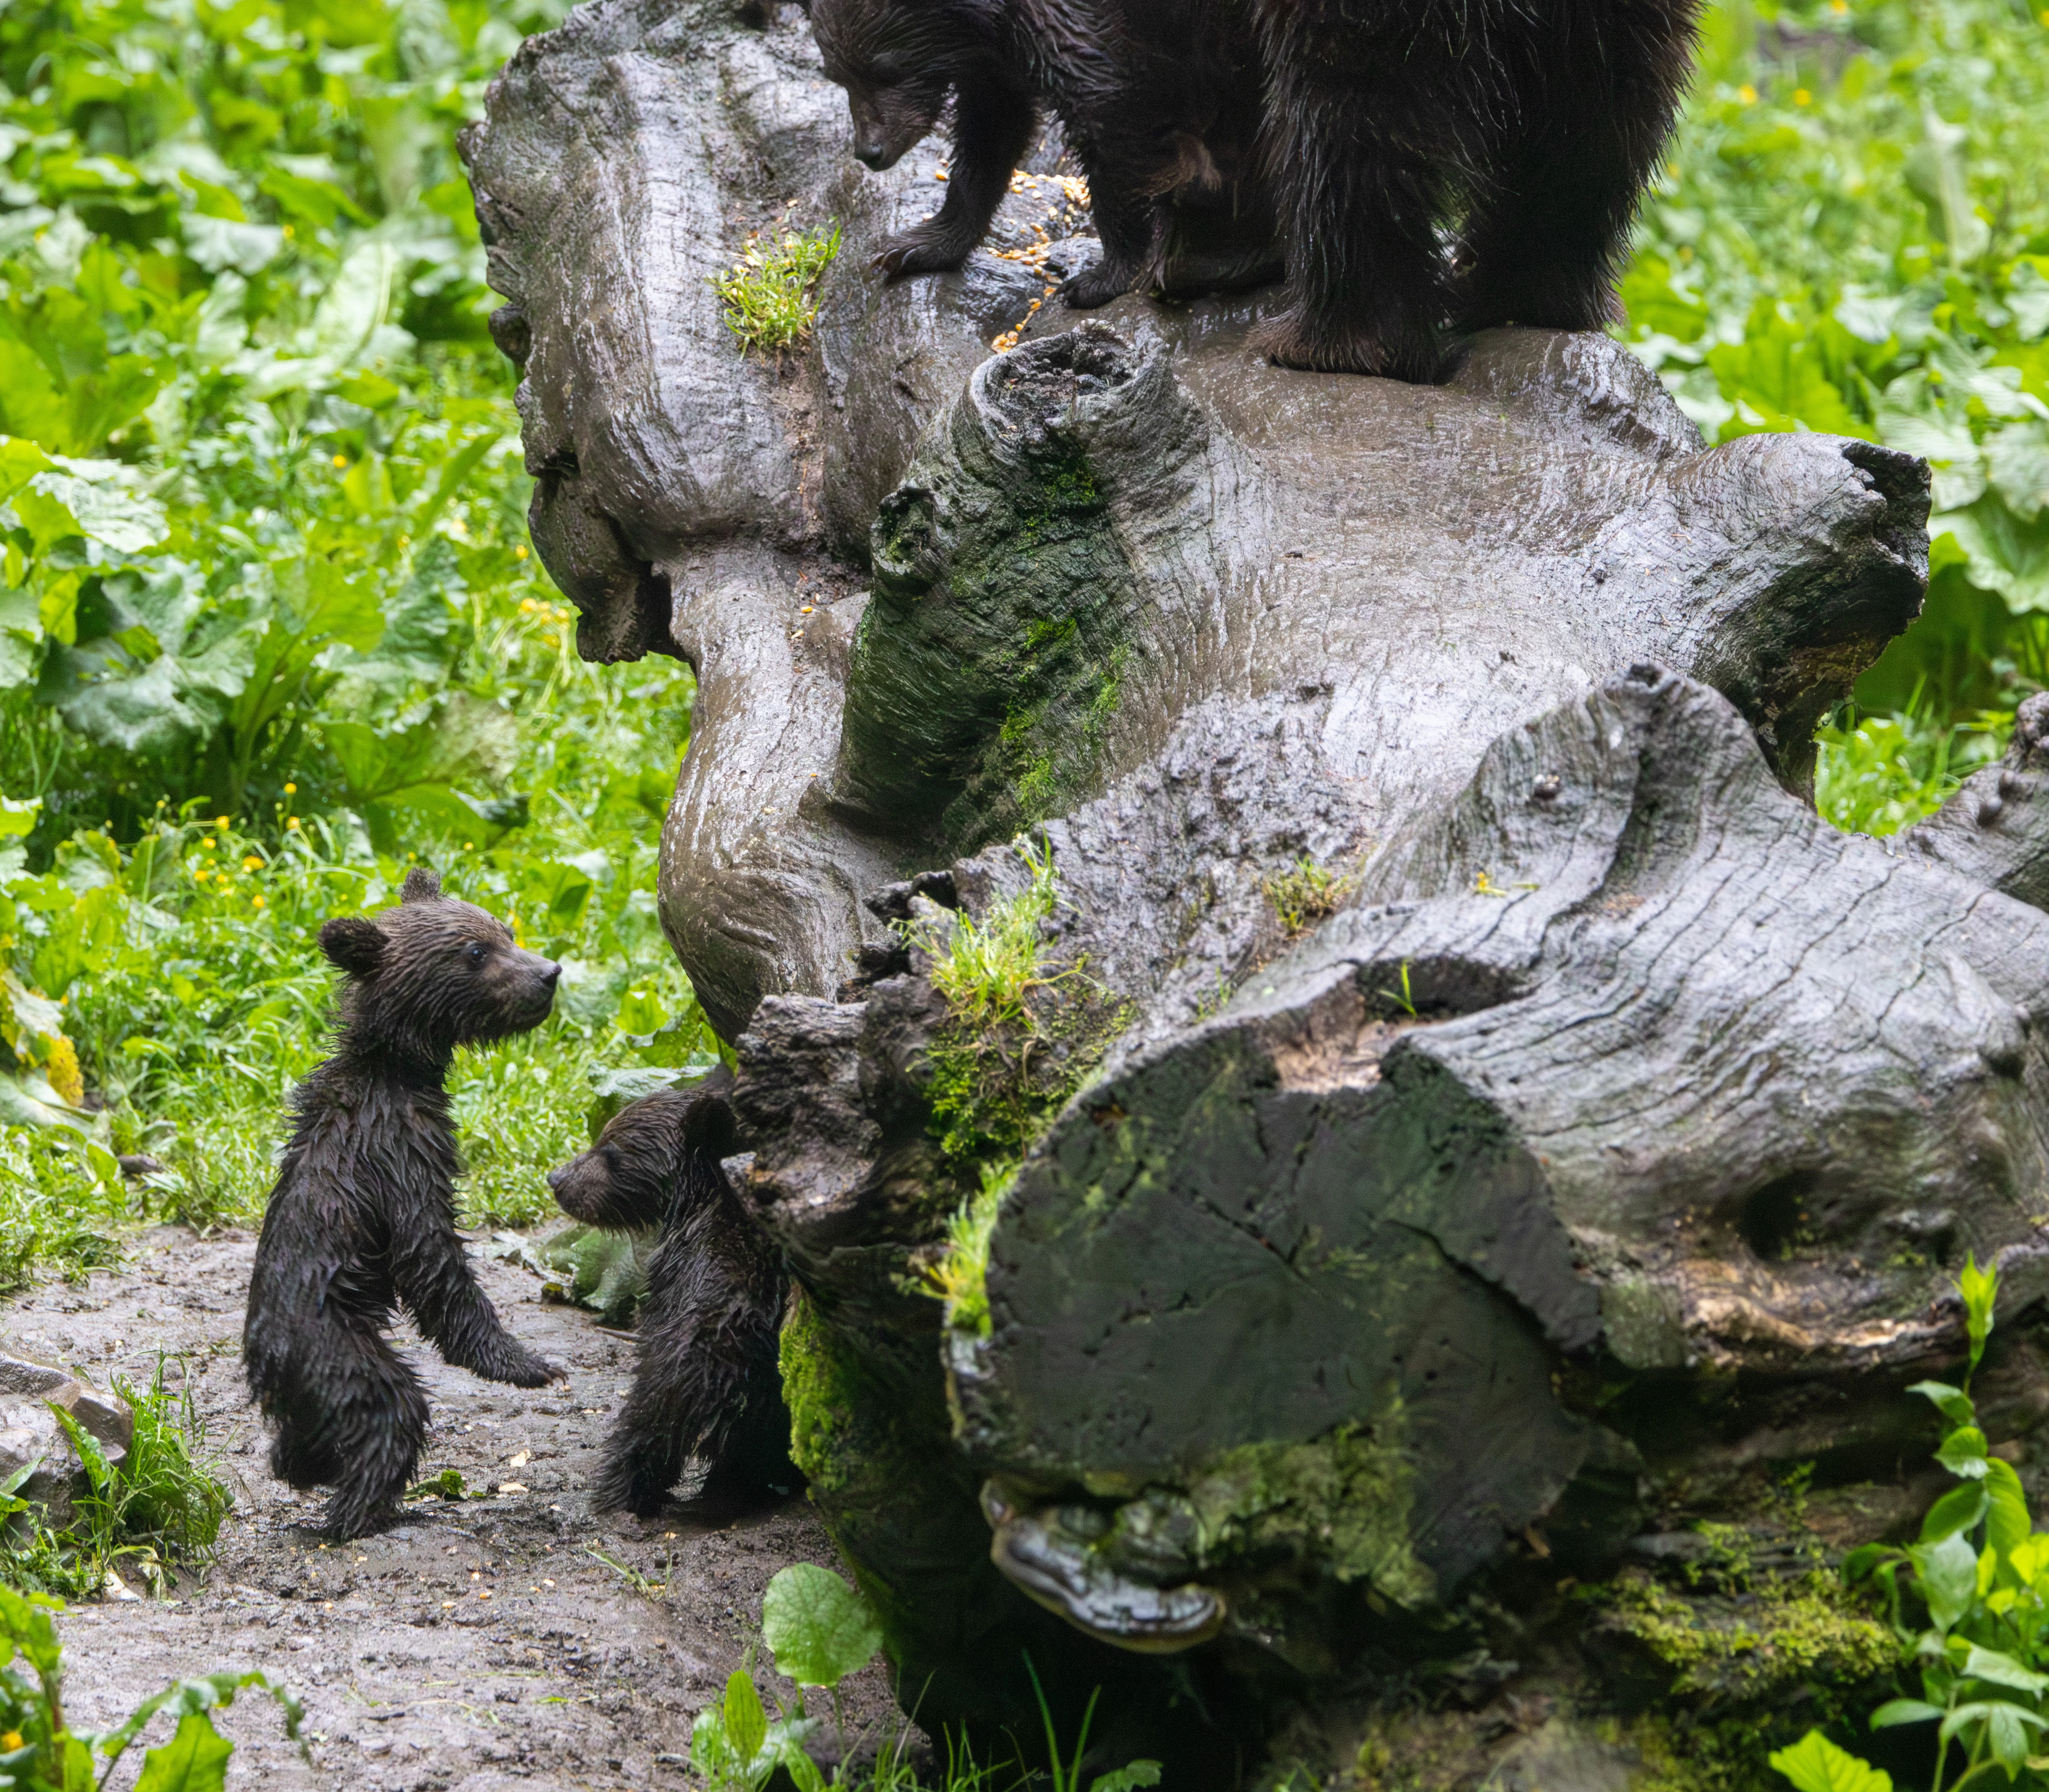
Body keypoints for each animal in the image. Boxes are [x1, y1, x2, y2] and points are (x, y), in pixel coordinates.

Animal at [242, 867, 562, 1541]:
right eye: (475, 952)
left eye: (506, 929)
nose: (548, 973)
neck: (397, 1074)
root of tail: (267, 1368)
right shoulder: (399, 1159)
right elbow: (433, 1260)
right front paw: (527, 1361)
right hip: (336, 1347)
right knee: (391, 1407)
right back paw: (362, 1512)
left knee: (303, 1442)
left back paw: (303, 1469)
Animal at [546, 1071, 799, 1517]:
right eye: (602, 1135)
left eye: (610, 1149)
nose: (558, 1180)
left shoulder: (674, 1286)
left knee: (649, 1424)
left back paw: (620, 1493)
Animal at [805, 0, 1280, 306]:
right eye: (838, 75)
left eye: (888, 68)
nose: (870, 151)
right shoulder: (1000, 52)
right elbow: (990, 132)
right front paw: (914, 247)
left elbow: (1106, 108)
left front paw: (1100, 278)